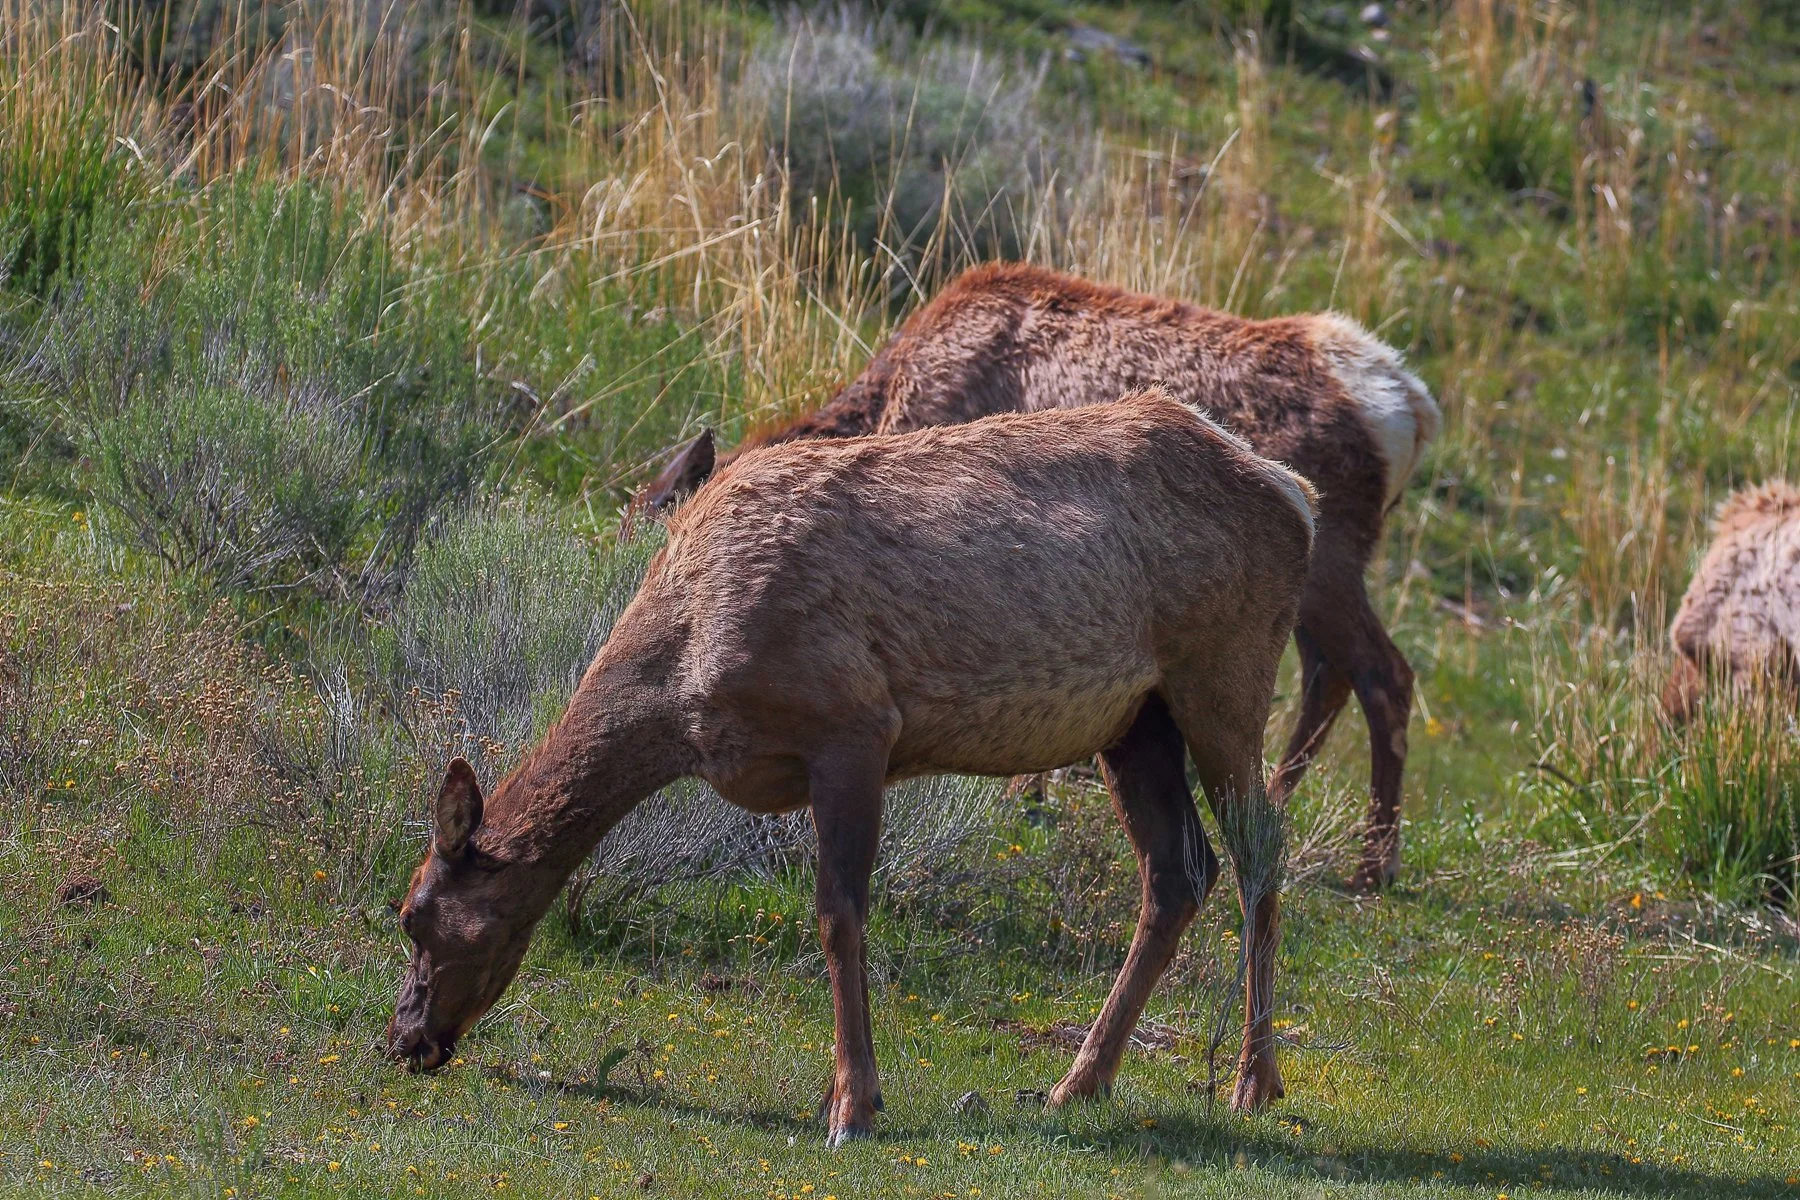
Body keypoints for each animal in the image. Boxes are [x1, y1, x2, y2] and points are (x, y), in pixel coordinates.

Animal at [387, 388, 1317, 1144]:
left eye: (413, 917)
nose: (402, 1038)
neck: (681, 686)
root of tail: (1295, 494)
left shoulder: (853, 723)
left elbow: (838, 915)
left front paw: (853, 1106)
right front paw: (852, 1096)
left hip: (1225, 668)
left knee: (1260, 855)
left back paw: (1254, 1083)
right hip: (1134, 719)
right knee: (1178, 872)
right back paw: (1077, 1084)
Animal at [633, 262, 1439, 890]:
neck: (898, 396)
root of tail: (1410, 406)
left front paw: (1029, 793)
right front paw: (1034, 789)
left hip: (1331, 560)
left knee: (1384, 674)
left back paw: (1375, 865)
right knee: (1329, 675)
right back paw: (1286, 798)